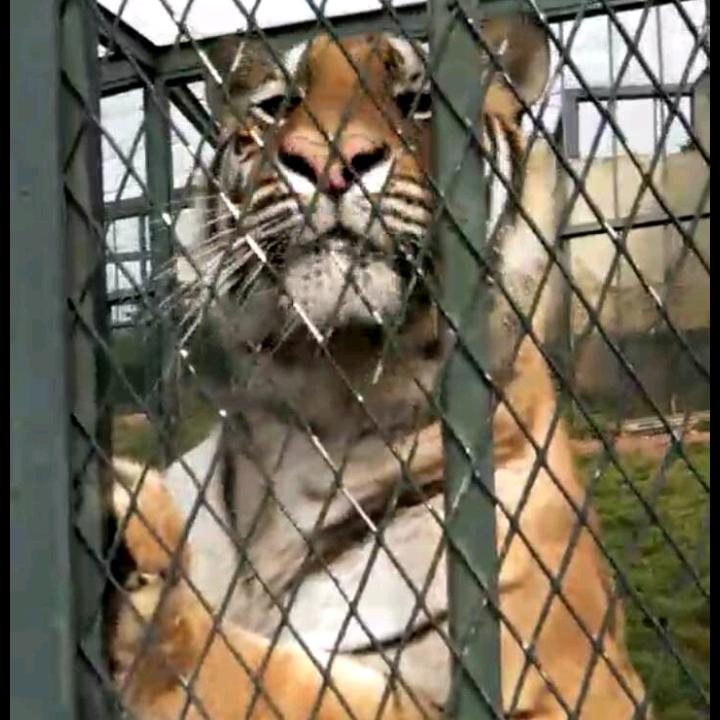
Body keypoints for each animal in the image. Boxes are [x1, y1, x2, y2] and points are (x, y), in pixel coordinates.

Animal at [107, 14, 652, 720]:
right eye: (278, 106)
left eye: (418, 102)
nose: (329, 163)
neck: (321, 395)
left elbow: (269, 676)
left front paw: (135, 550)